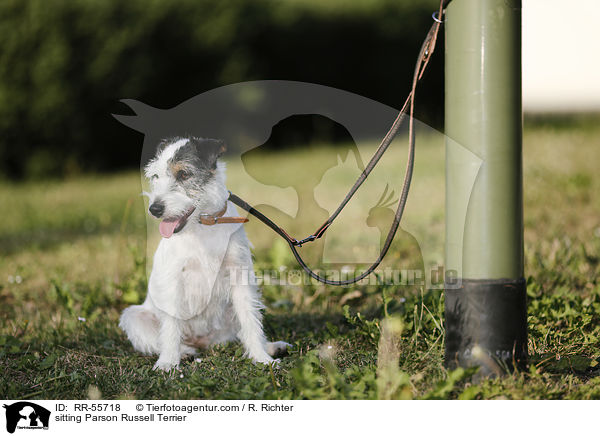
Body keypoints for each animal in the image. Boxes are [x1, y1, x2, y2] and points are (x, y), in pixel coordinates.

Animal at [119, 136, 288, 372]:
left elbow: (250, 321)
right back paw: (185, 352)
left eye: (183, 174)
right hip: (133, 317)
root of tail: (204, 341)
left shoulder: (240, 278)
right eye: (156, 176)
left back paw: (272, 347)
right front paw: (167, 363)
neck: (204, 224)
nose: (154, 209)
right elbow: (170, 328)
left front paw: (262, 359)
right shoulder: (173, 281)